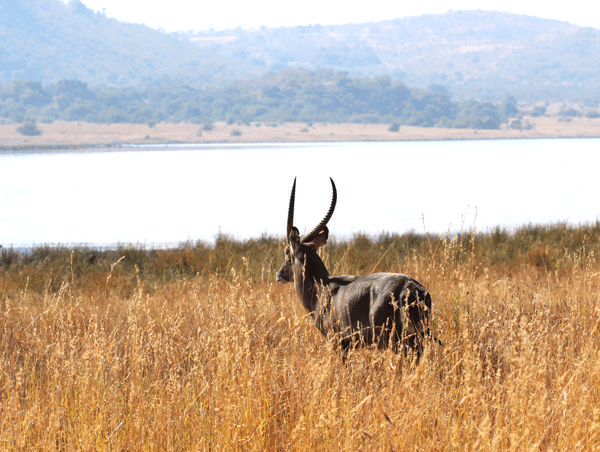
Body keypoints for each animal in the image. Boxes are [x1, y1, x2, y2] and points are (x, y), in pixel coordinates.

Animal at [276, 178, 440, 358]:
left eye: (287, 252)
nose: (279, 274)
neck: (321, 286)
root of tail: (411, 287)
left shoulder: (339, 343)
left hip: (397, 340)